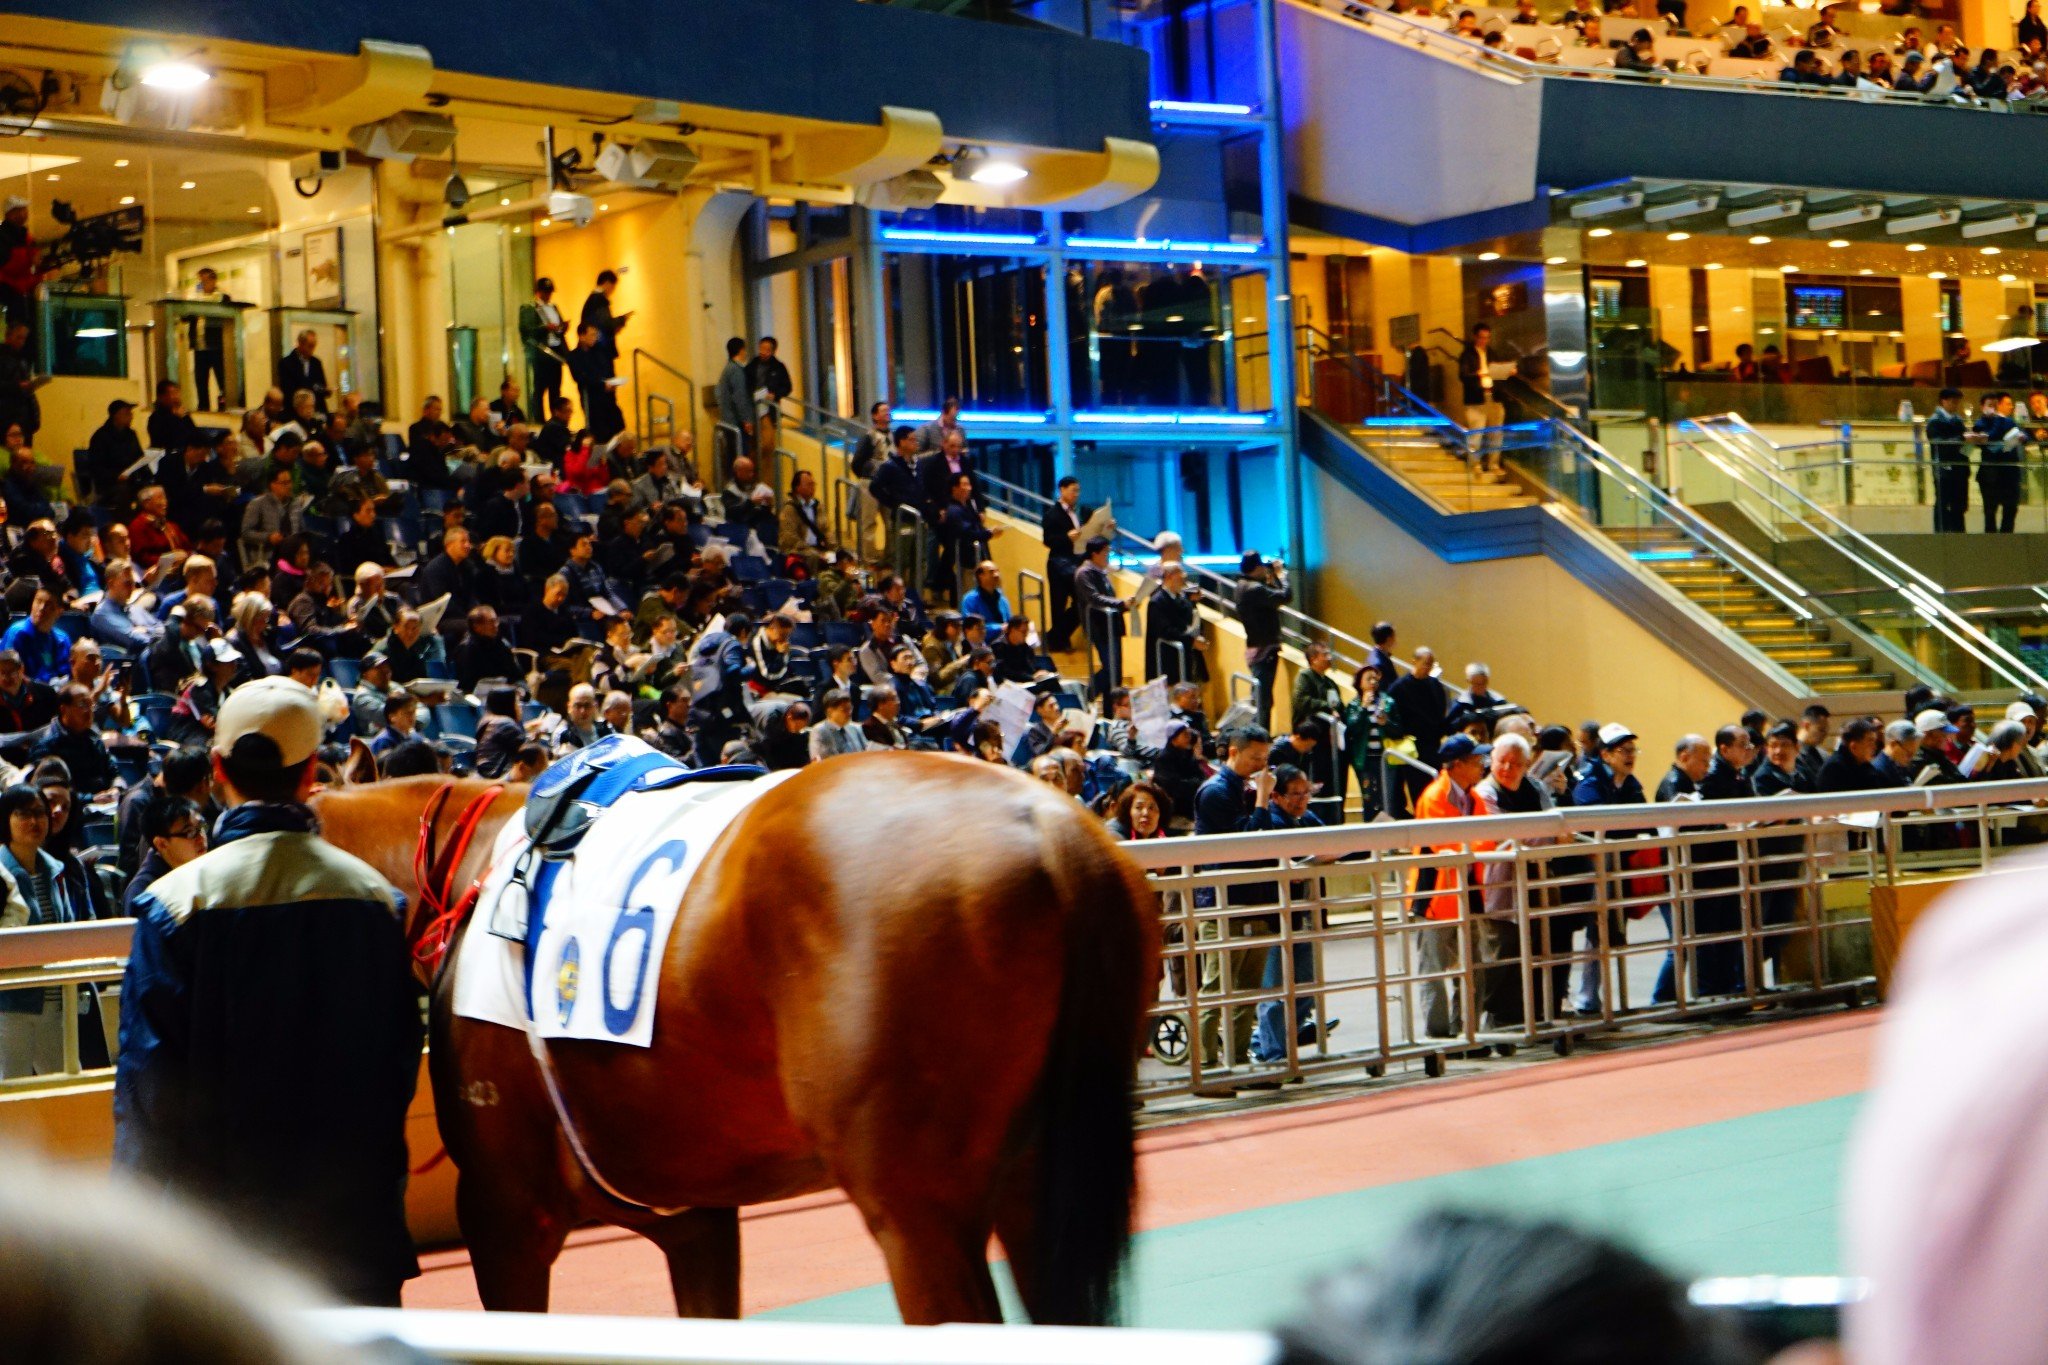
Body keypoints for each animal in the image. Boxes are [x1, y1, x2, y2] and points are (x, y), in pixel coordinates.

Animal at [313, 752, 1160, 1325]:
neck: (476, 874)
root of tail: (1050, 827)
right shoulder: (697, 1219)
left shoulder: (507, 1211)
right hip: (1035, 1186)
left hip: (919, 1211)